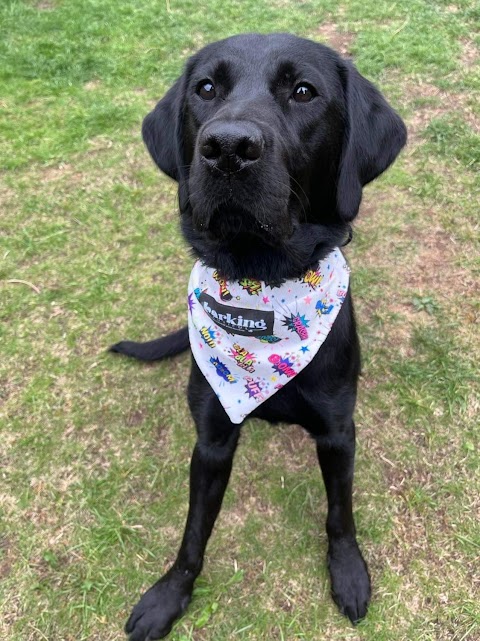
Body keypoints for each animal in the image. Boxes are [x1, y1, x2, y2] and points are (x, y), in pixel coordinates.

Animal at [110, 33, 406, 640]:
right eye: (205, 88)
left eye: (304, 91)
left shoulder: (338, 432)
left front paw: (348, 572)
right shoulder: (212, 439)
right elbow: (193, 532)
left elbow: (340, 513)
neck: (261, 283)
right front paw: (170, 593)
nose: (227, 147)